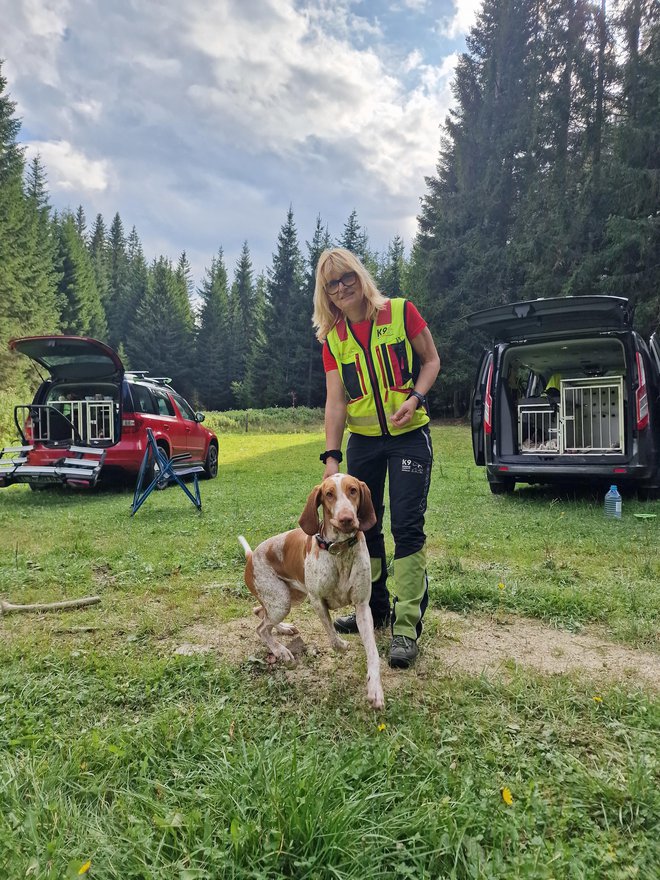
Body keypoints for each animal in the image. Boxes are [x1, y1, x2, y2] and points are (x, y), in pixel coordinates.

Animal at [238, 474, 384, 708]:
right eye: (329, 494)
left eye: (353, 490)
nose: (346, 519)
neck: (340, 552)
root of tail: (252, 556)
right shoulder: (317, 601)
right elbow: (333, 639)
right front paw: (342, 646)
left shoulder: (362, 607)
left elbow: (372, 652)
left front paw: (375, 689)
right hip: (282, 601)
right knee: (261, 629)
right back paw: (280, 650)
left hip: (288, 598)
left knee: (260, 613)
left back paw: (284, 629)